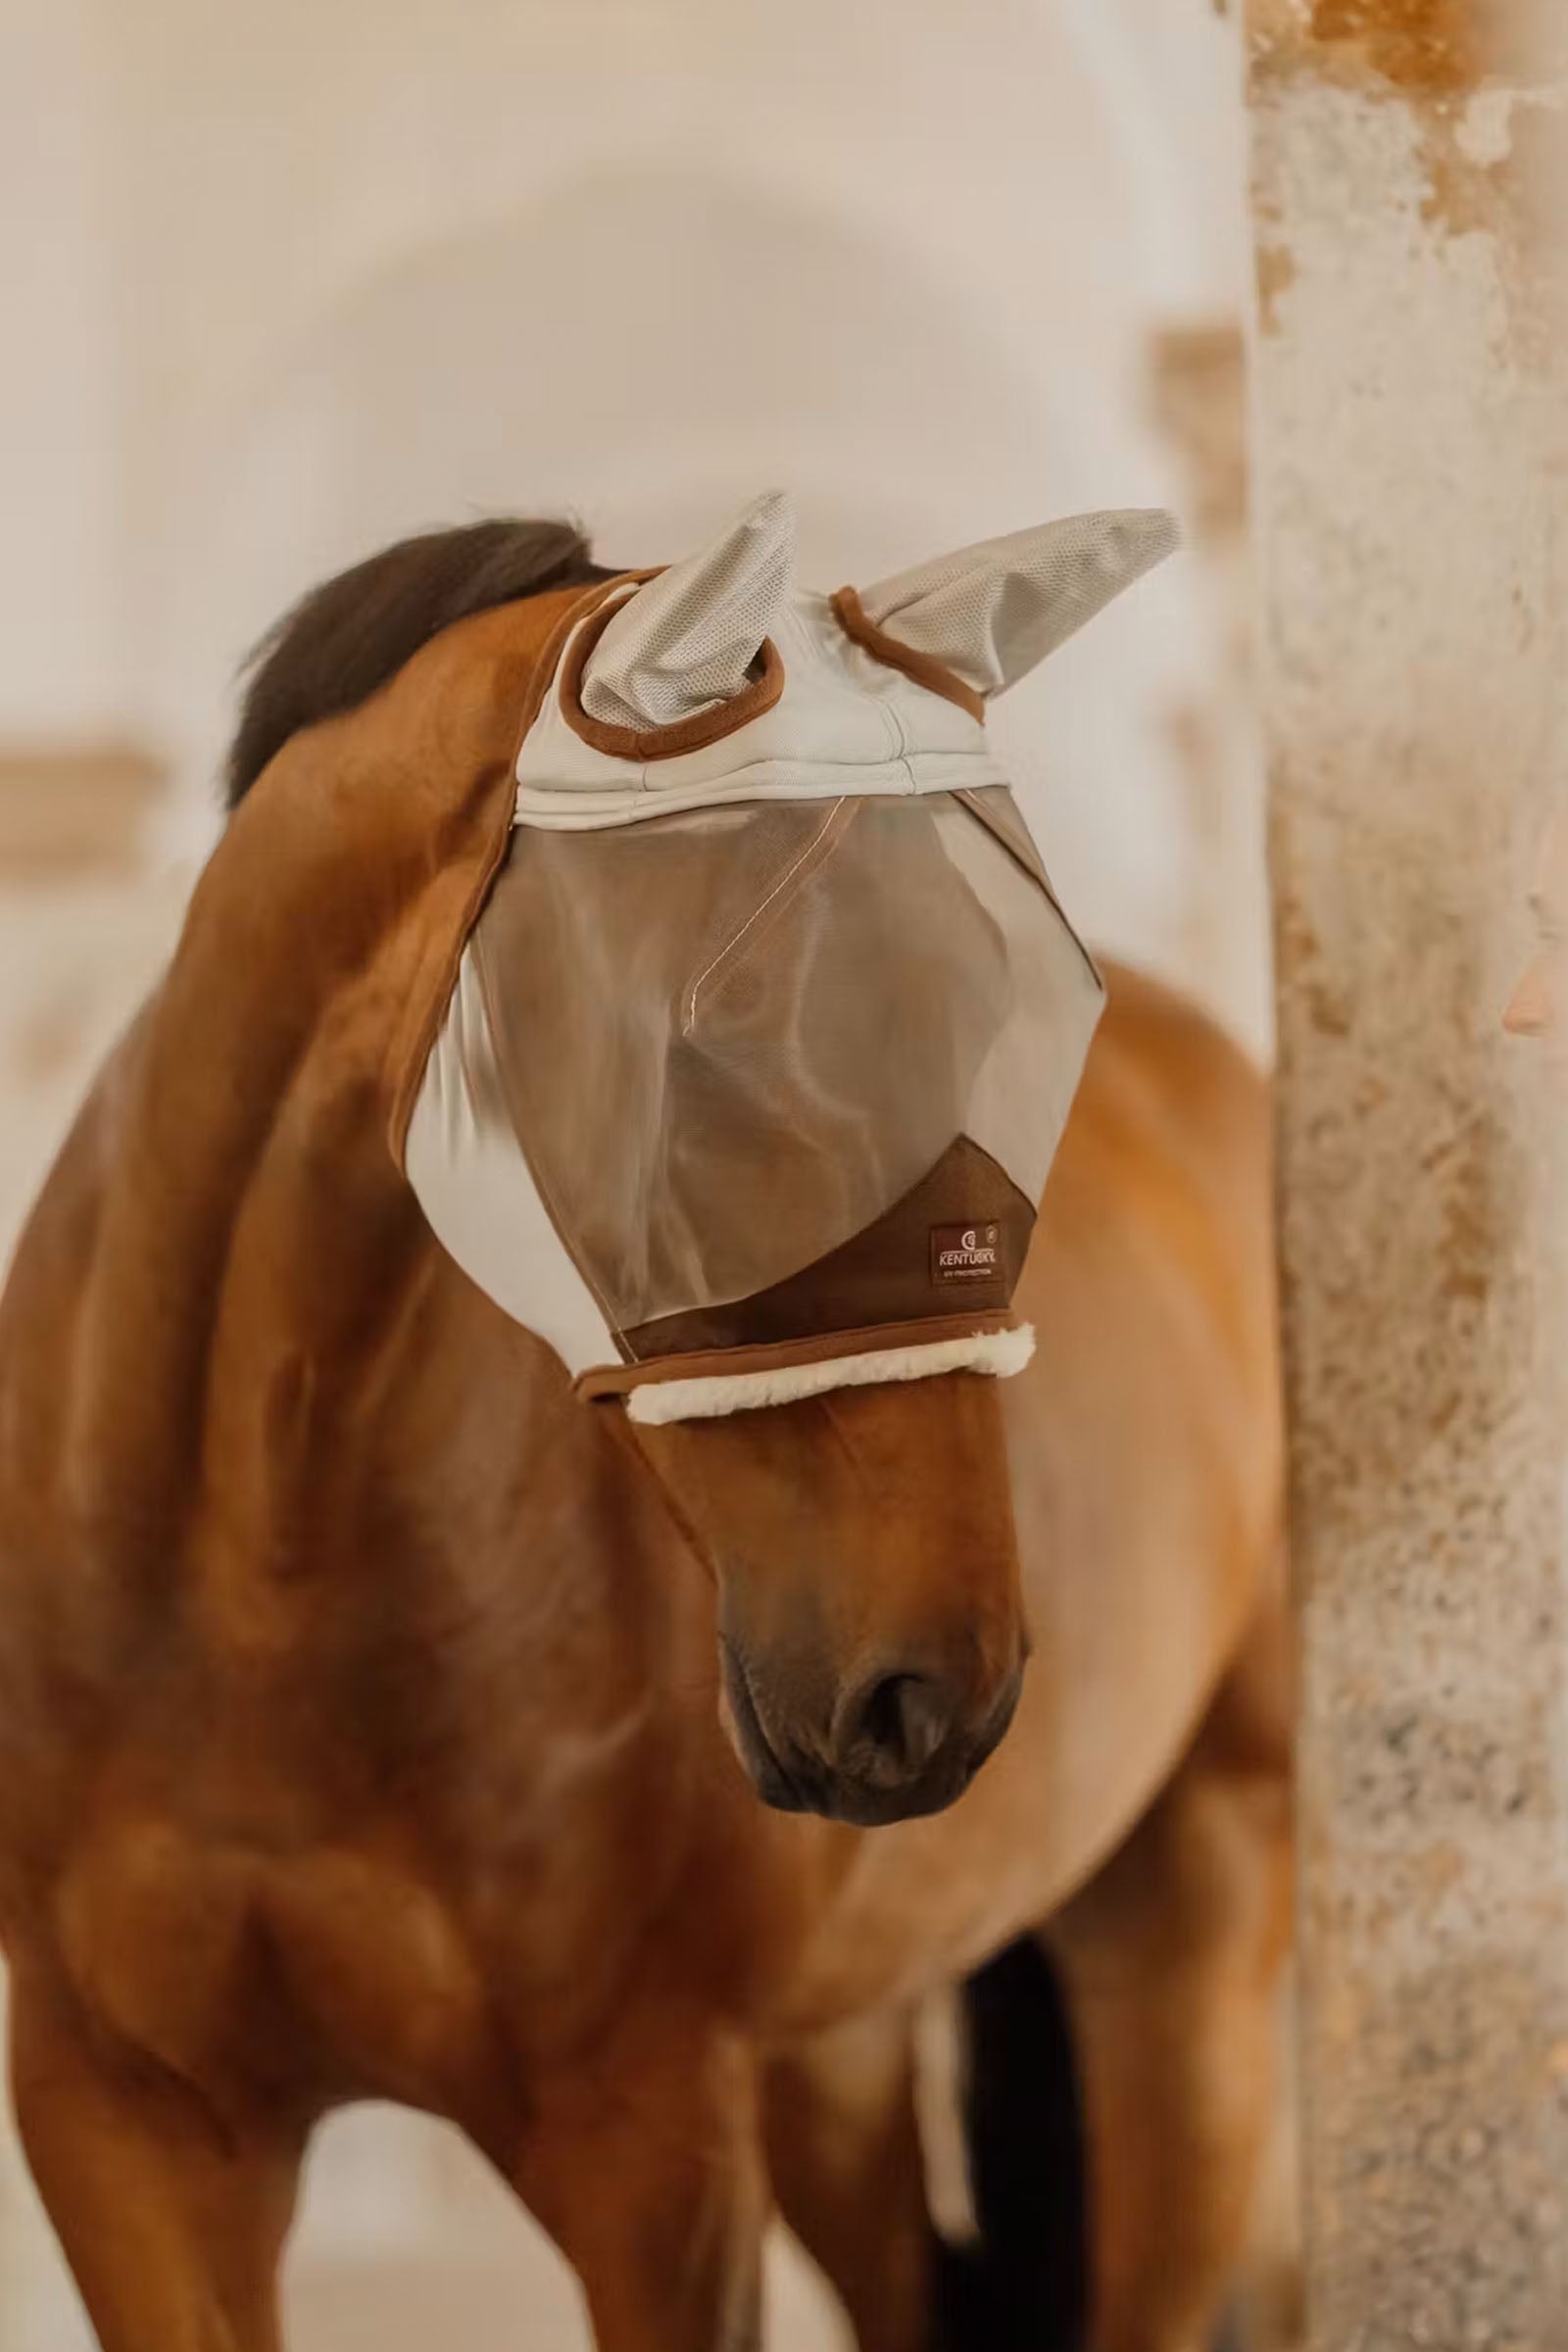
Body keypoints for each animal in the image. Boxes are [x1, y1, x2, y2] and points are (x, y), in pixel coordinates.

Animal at [0, 505, 1290, 2352]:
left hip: (1191, 1953)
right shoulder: (125, 2129)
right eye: (714, 1055)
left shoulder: (655, 2143)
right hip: (841, 2057)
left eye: (1039, 1026)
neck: (247, 1573)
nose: (939, 1690)